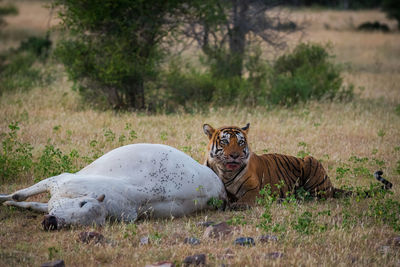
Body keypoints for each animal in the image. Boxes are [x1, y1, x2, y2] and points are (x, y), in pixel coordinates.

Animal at [202, 123, 392, 205]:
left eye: (241, 142)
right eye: (225, 142)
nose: (235, 155)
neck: (225, 172)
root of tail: (332, 185)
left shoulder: (253, 191)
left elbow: (242, 201)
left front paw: (233, 205)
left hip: (310, 162)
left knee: (320, 196)